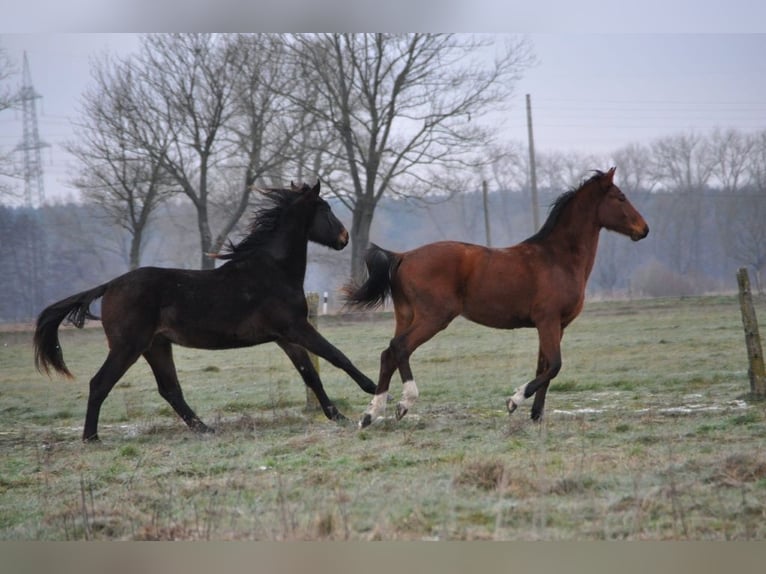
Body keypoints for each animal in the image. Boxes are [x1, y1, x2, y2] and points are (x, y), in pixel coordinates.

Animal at [36, 182, 378, 444]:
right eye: (326, 209)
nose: (344, 238)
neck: (274, 270)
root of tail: (109, 286)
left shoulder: (286, 337)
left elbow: (310, 374)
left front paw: (339, 416)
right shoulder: (296, 328)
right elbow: (337, 357)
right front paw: (373, 389)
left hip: (156, 345)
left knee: (170, 390)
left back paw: (205, 429)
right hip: (128, 346)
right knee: (100, 384)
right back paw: (91, 438)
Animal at [344, 166, 652, 428]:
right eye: (620, 197)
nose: (644, 229)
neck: (558, 259)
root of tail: (402, 256)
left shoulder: (556, 325)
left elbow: (545, 367)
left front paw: (536, 415)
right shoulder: (548, 321)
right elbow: (554, 365)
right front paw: (514, 401)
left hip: (406, 315)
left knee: (388, 354)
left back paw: (371, 414)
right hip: (434, 318)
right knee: (400, 348)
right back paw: (404, 403)